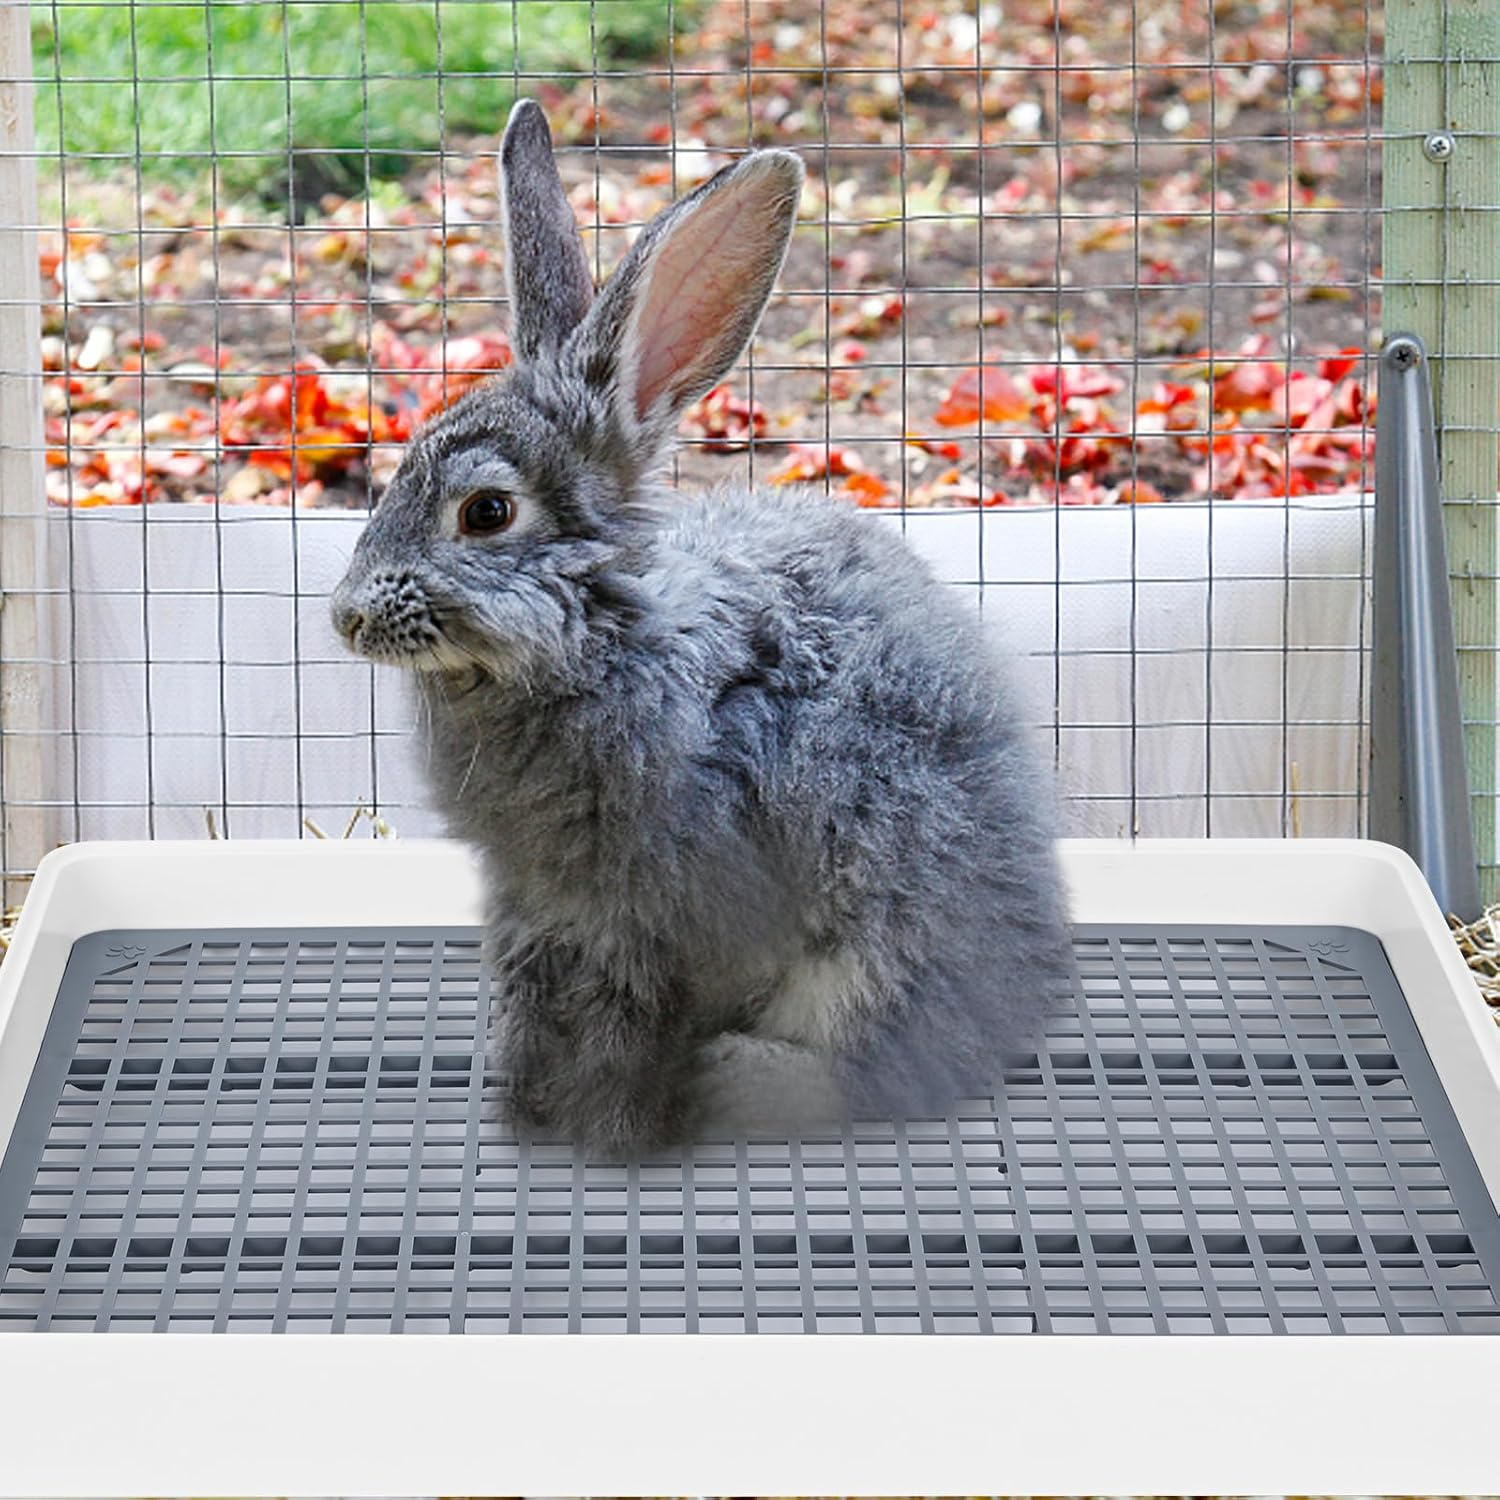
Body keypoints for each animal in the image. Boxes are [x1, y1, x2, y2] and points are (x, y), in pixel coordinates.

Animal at [331, 99, 1073, 1155]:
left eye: (487, 513)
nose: (348, 615)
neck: (601, 638)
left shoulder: (662, 921)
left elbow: (630, 1024)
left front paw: (612, 1129)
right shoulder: (537, 912)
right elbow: (536, 1006)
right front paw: (525, 1113)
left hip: (877, 939)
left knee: (886, 1064)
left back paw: (736, 1082)